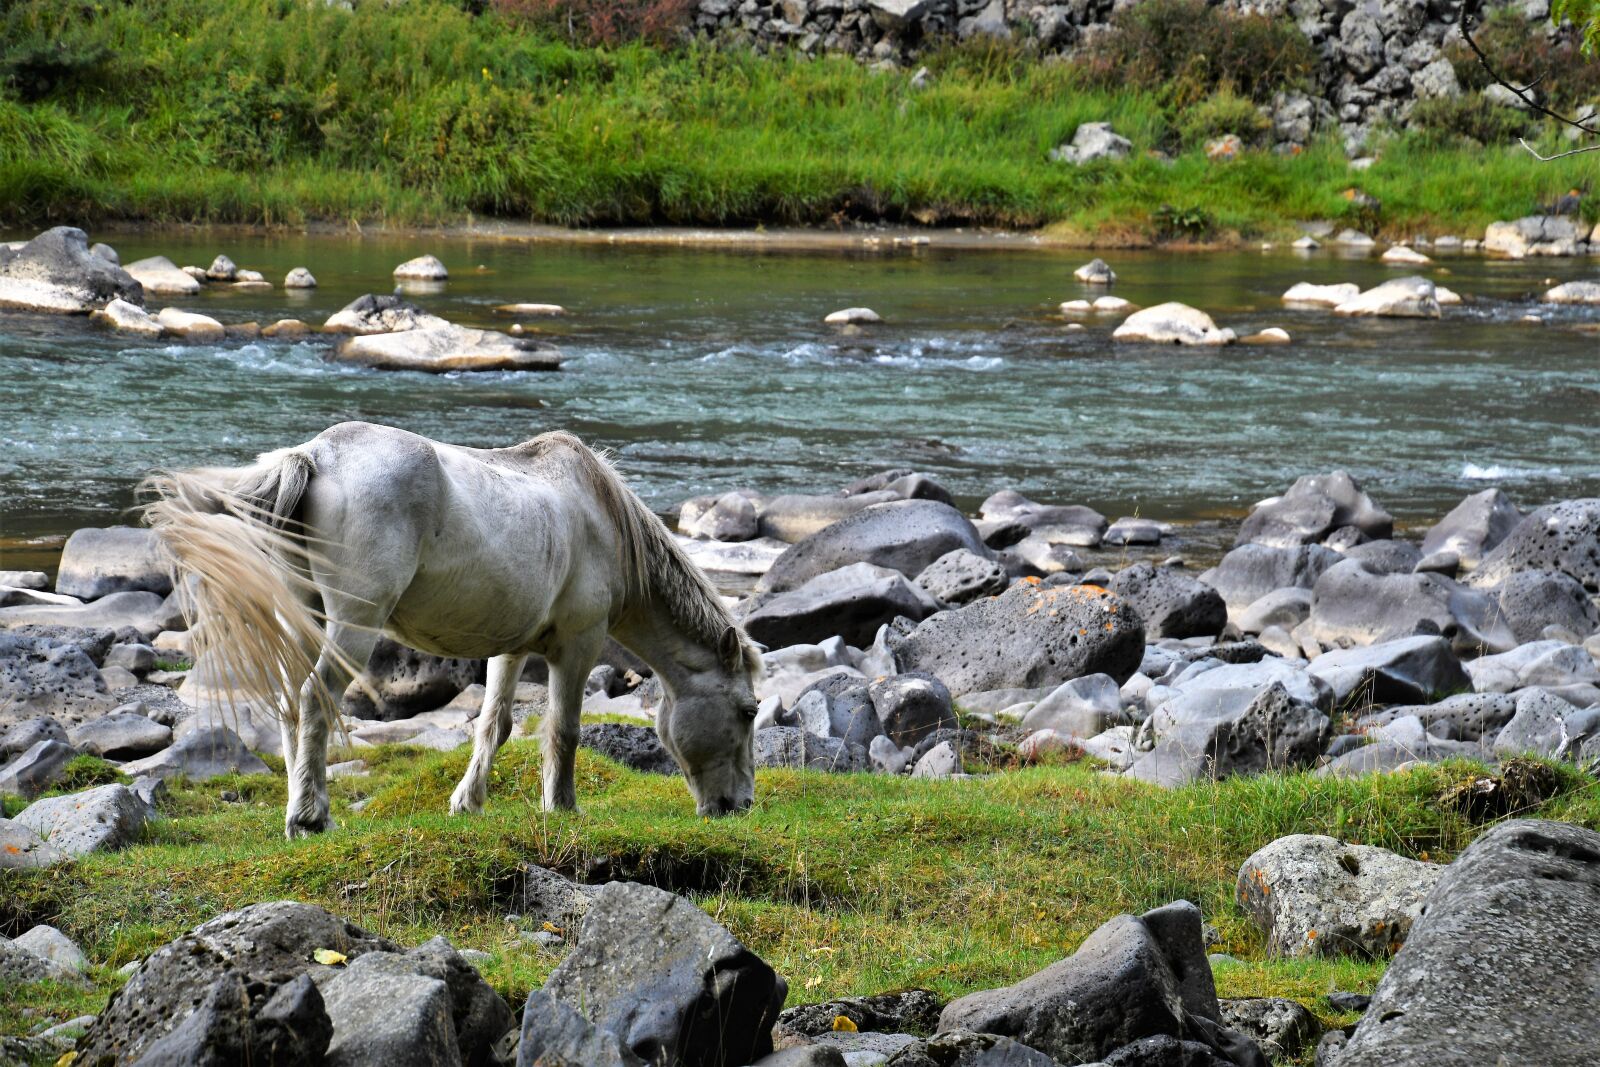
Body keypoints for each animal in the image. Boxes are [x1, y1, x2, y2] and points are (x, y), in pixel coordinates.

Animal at [143, 421, 763, 838]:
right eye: (748, 711)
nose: (740, 806)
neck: (600, 516)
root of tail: (313, 456)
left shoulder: (512, 649)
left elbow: (495, 724)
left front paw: (469, 802)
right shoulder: (578, 644)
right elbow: (564, 730)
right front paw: (562, 807)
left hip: (306, 617)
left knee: (292, 706)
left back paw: (300, 807)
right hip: (353, 625)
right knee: (316, 700)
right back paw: (311, 817)